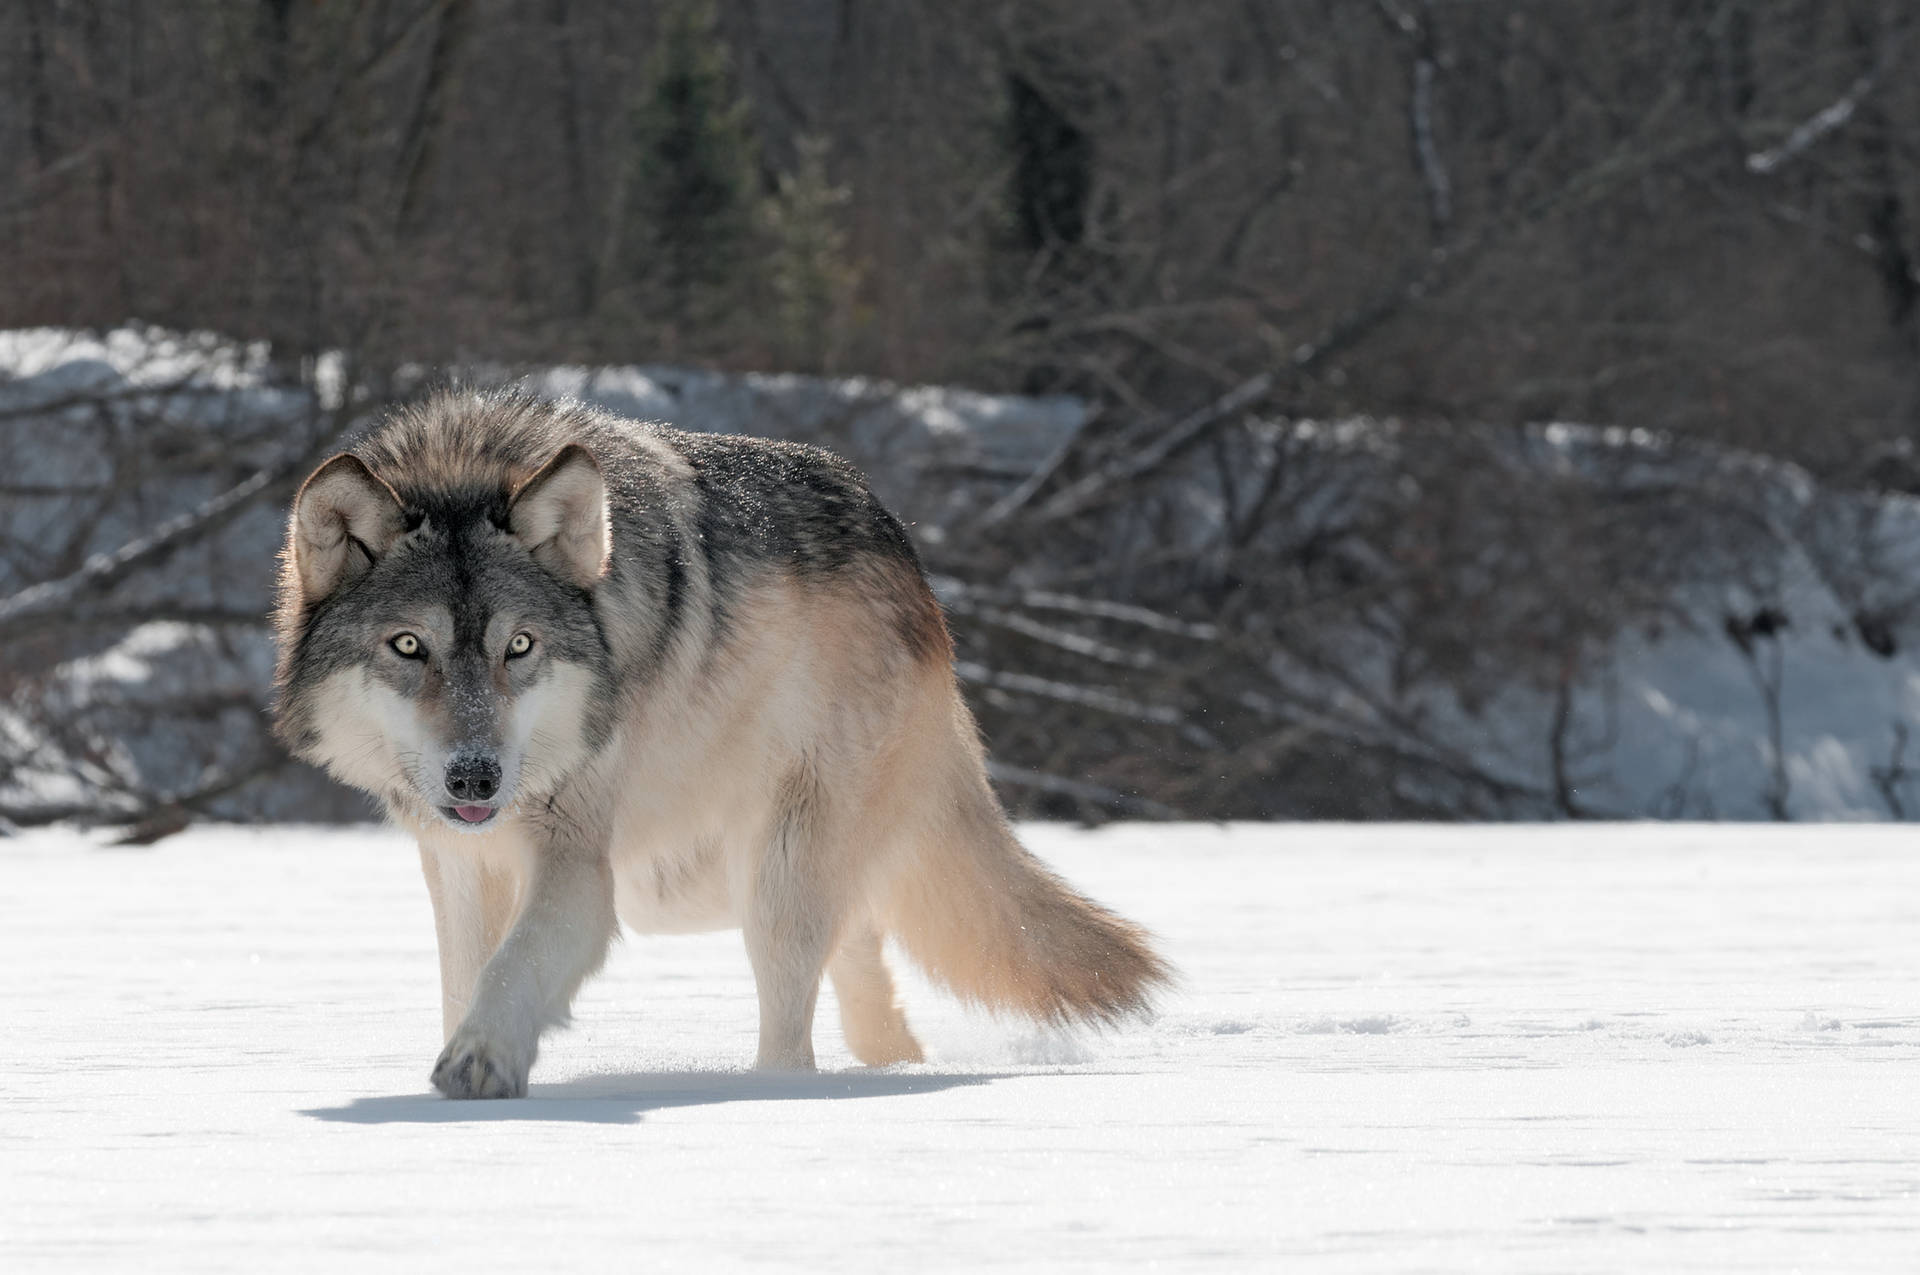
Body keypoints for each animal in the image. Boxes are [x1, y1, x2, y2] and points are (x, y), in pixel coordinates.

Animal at [270, 387, 1167, 1098]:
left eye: (519, 646)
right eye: (408, 646)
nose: (476, 779)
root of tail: (914, 569)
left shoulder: (577, 863)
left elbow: (514, 965)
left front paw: (480, 1060)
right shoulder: (459, 864)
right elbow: (468, 975)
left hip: (768, 872)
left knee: (795, 1033)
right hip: (701, 879)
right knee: (865, 972)